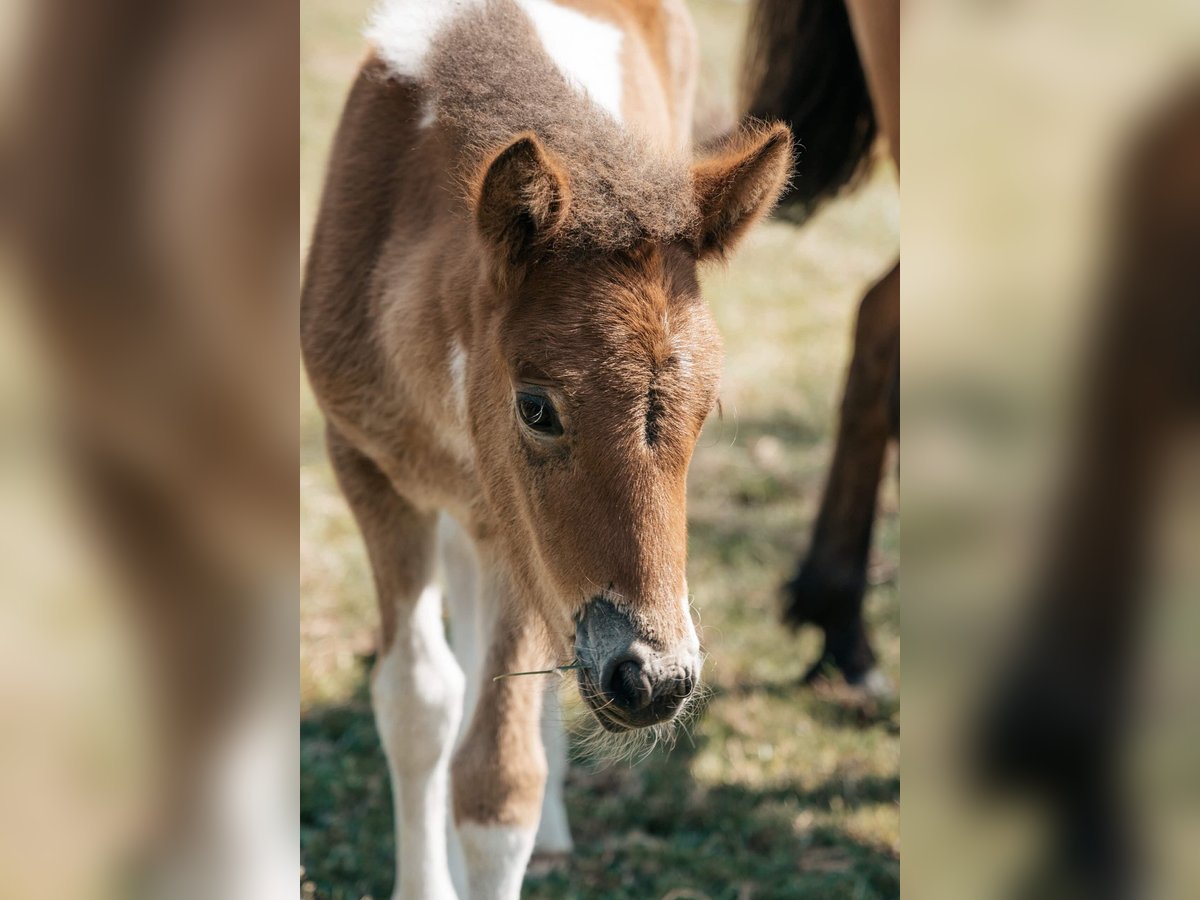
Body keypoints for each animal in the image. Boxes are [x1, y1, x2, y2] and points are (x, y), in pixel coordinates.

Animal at [300, 1, 791, 896]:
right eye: (536, 406)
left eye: (709, 411)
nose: (657, 679)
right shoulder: (365, 466)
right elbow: (418, 704)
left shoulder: (517, 537)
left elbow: (500, 783)